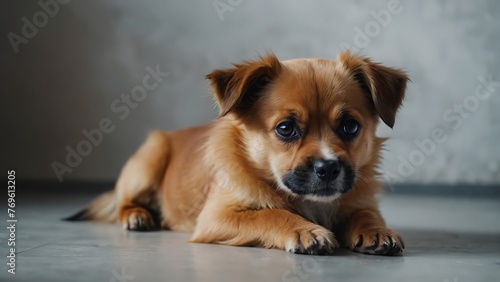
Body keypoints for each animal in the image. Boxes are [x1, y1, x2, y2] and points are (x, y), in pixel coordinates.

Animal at [67, 50, 410, 256]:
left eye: (350, 127)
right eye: (286, 128)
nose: (327, 168)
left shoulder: (361, 202)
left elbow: (365, 214)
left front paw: (377, 230)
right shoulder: (218, 216)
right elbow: (271, 214)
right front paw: (305, 230)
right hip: (150, 159)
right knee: (124, 202)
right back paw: (137, 215)